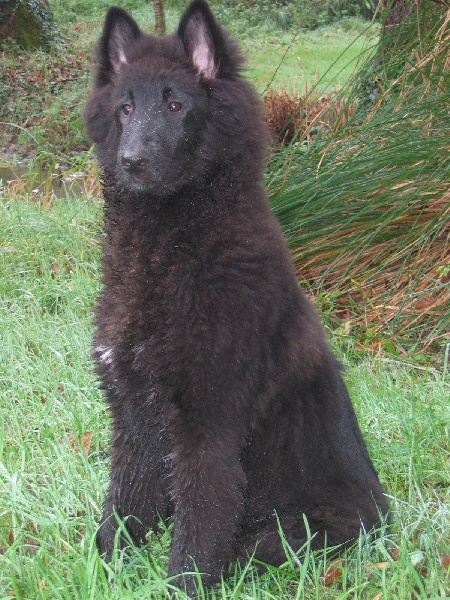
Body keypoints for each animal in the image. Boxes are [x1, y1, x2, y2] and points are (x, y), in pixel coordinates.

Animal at [84, 0, 386, 592]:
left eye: (175, 104)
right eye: (125, 108)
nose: (131, 161)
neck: (167, 255)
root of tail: (383, 516)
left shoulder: (209, 427)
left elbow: (196, 536)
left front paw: (178, 587)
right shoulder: (133, 415)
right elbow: (121, 511)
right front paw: (105, 571)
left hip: (287, 533)